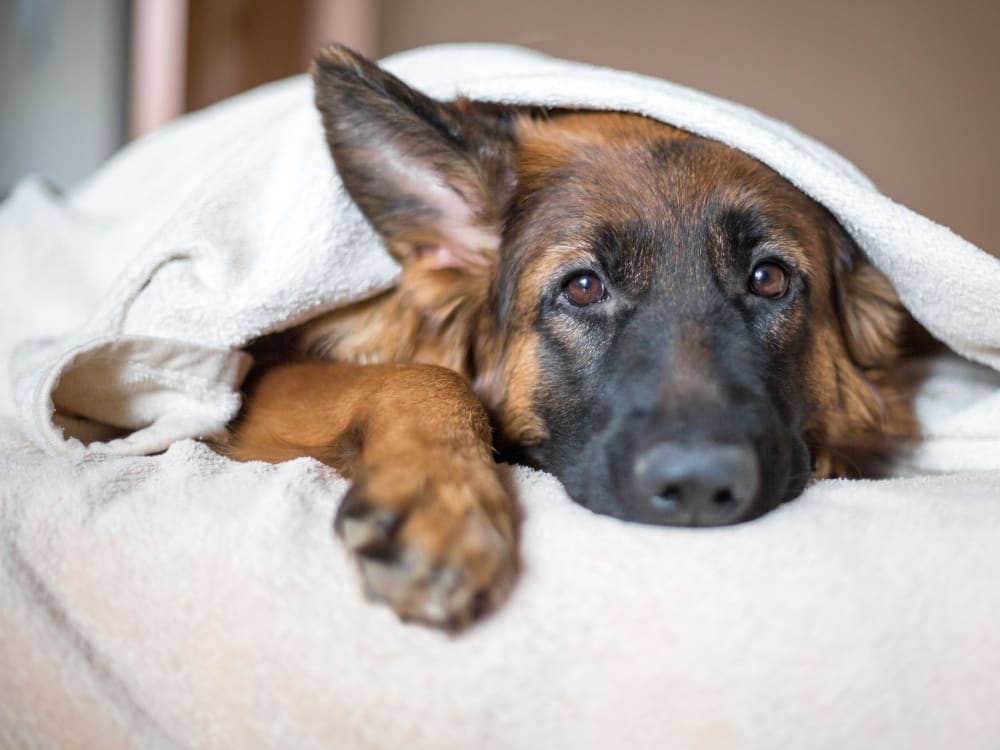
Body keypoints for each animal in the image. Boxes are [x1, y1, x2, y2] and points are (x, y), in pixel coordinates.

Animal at [227, 44, 916, 632]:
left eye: (768, 278)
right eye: (584, 288)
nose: (699, 486)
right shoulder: (256, 385)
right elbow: (426, 374)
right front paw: (440, 495)